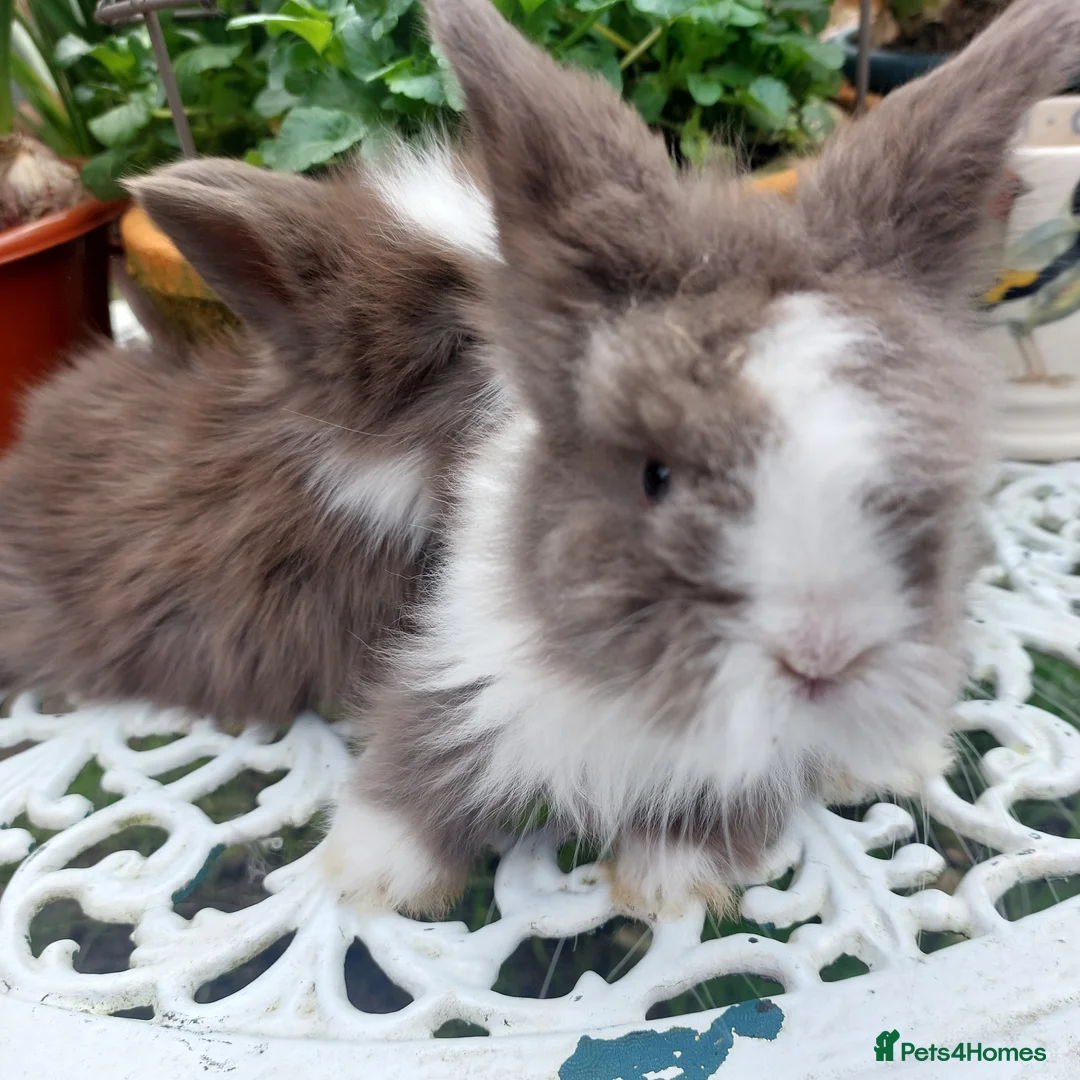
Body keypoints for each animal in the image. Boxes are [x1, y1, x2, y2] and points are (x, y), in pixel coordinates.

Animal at [319, 0, 1080, 919]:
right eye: (656, 476)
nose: (823, 656)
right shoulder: (464, 663)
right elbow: (423, 754)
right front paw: (371, 872)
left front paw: (668, 882)